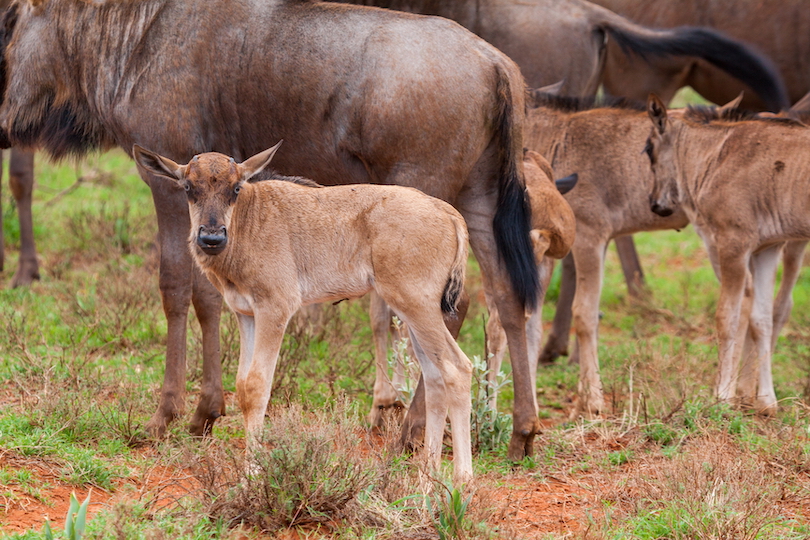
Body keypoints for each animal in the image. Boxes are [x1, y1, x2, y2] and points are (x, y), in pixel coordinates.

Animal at [133, 141, 474, 484]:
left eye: (235, 188)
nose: (212, 238)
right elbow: (242, 386)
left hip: (417, 308)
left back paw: (462, 479)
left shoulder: (275, 309)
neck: (250, 218)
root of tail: (448, 212)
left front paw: (252, 473)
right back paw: (428, 477)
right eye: (189, 187)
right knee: (435, 377)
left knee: (457, 368)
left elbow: (257, 385)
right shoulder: (246, 315)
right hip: (414, 314)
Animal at [648, 97, 810, 416]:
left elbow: (727, 318)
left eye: (648, 149)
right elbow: (762, 319)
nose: (655, 204)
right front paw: (766, 401)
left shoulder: (732, 245)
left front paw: (722, 396)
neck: (717, 154)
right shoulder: (767, 249)